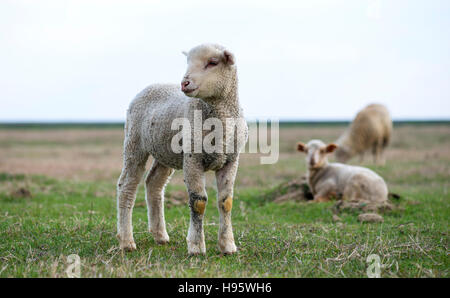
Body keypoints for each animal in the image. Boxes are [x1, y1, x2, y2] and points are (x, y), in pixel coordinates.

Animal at [116, 43, 248, 255]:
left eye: (213, 62)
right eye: (187, 62)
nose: (185, 83)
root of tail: (151, 85)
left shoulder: (231, 159)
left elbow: (226, 202)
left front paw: (228, 245)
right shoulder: (193, 158)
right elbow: (199, 202)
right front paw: (196, 246)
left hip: (164, 151)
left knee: (154, 183)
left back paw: (160, 235)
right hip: (134, 142)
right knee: (127, 185)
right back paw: (126, 241)